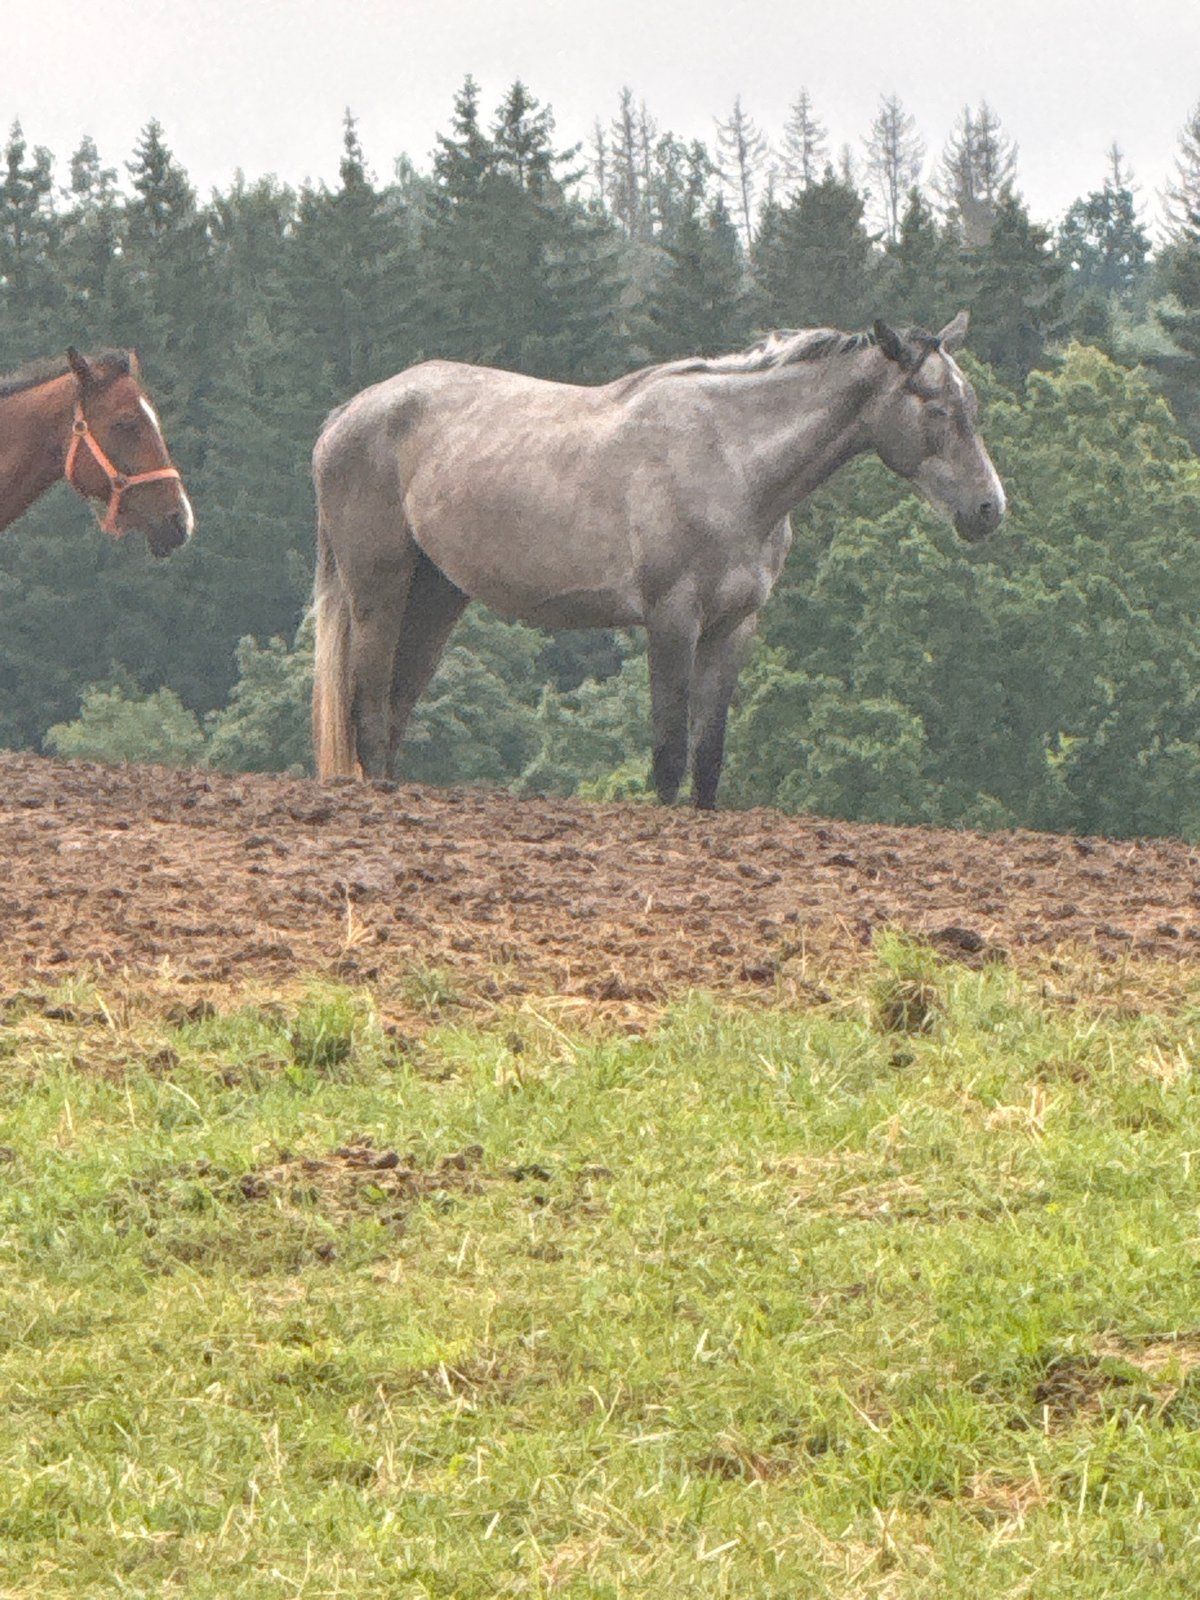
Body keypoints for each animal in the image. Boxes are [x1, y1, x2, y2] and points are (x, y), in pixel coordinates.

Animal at [311, 312, 1005, 809]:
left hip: (437, 597)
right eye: (936, 406)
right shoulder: (673, 619)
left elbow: (708, 755)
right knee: (369, 702)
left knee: (395, 705)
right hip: (380, 593)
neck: (731, 461)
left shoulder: (733, 626)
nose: (989, 508)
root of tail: (348, 414)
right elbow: (670, 751)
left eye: (971, 405)